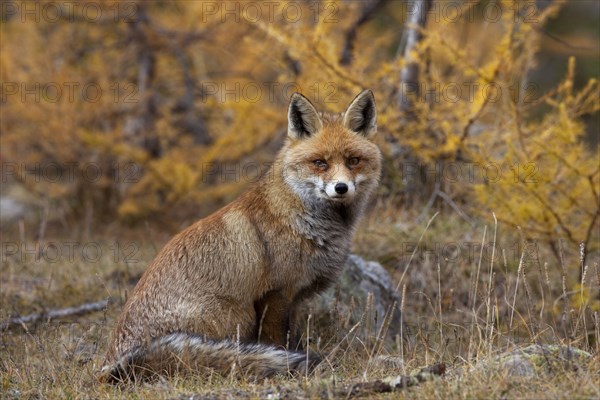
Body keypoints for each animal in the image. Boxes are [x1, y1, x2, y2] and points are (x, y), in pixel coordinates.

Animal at [98, 89, 380, 382]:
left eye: (353, 161)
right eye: (320, 163)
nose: (341, 187)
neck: (302, 218)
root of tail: (113, 366)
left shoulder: (294, 300)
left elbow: (293, 339)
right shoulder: (275, 294)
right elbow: (278, 343)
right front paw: (290, 369)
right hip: (237, 315)